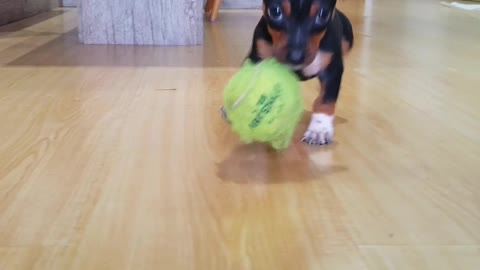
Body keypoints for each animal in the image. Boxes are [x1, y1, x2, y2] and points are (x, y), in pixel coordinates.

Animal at [248, 0, 352, 144]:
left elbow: (326, 100)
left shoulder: (332, 70)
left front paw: (319, 129)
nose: (295, 57)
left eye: (323, 14)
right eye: (275, 11)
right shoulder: (257, 57)